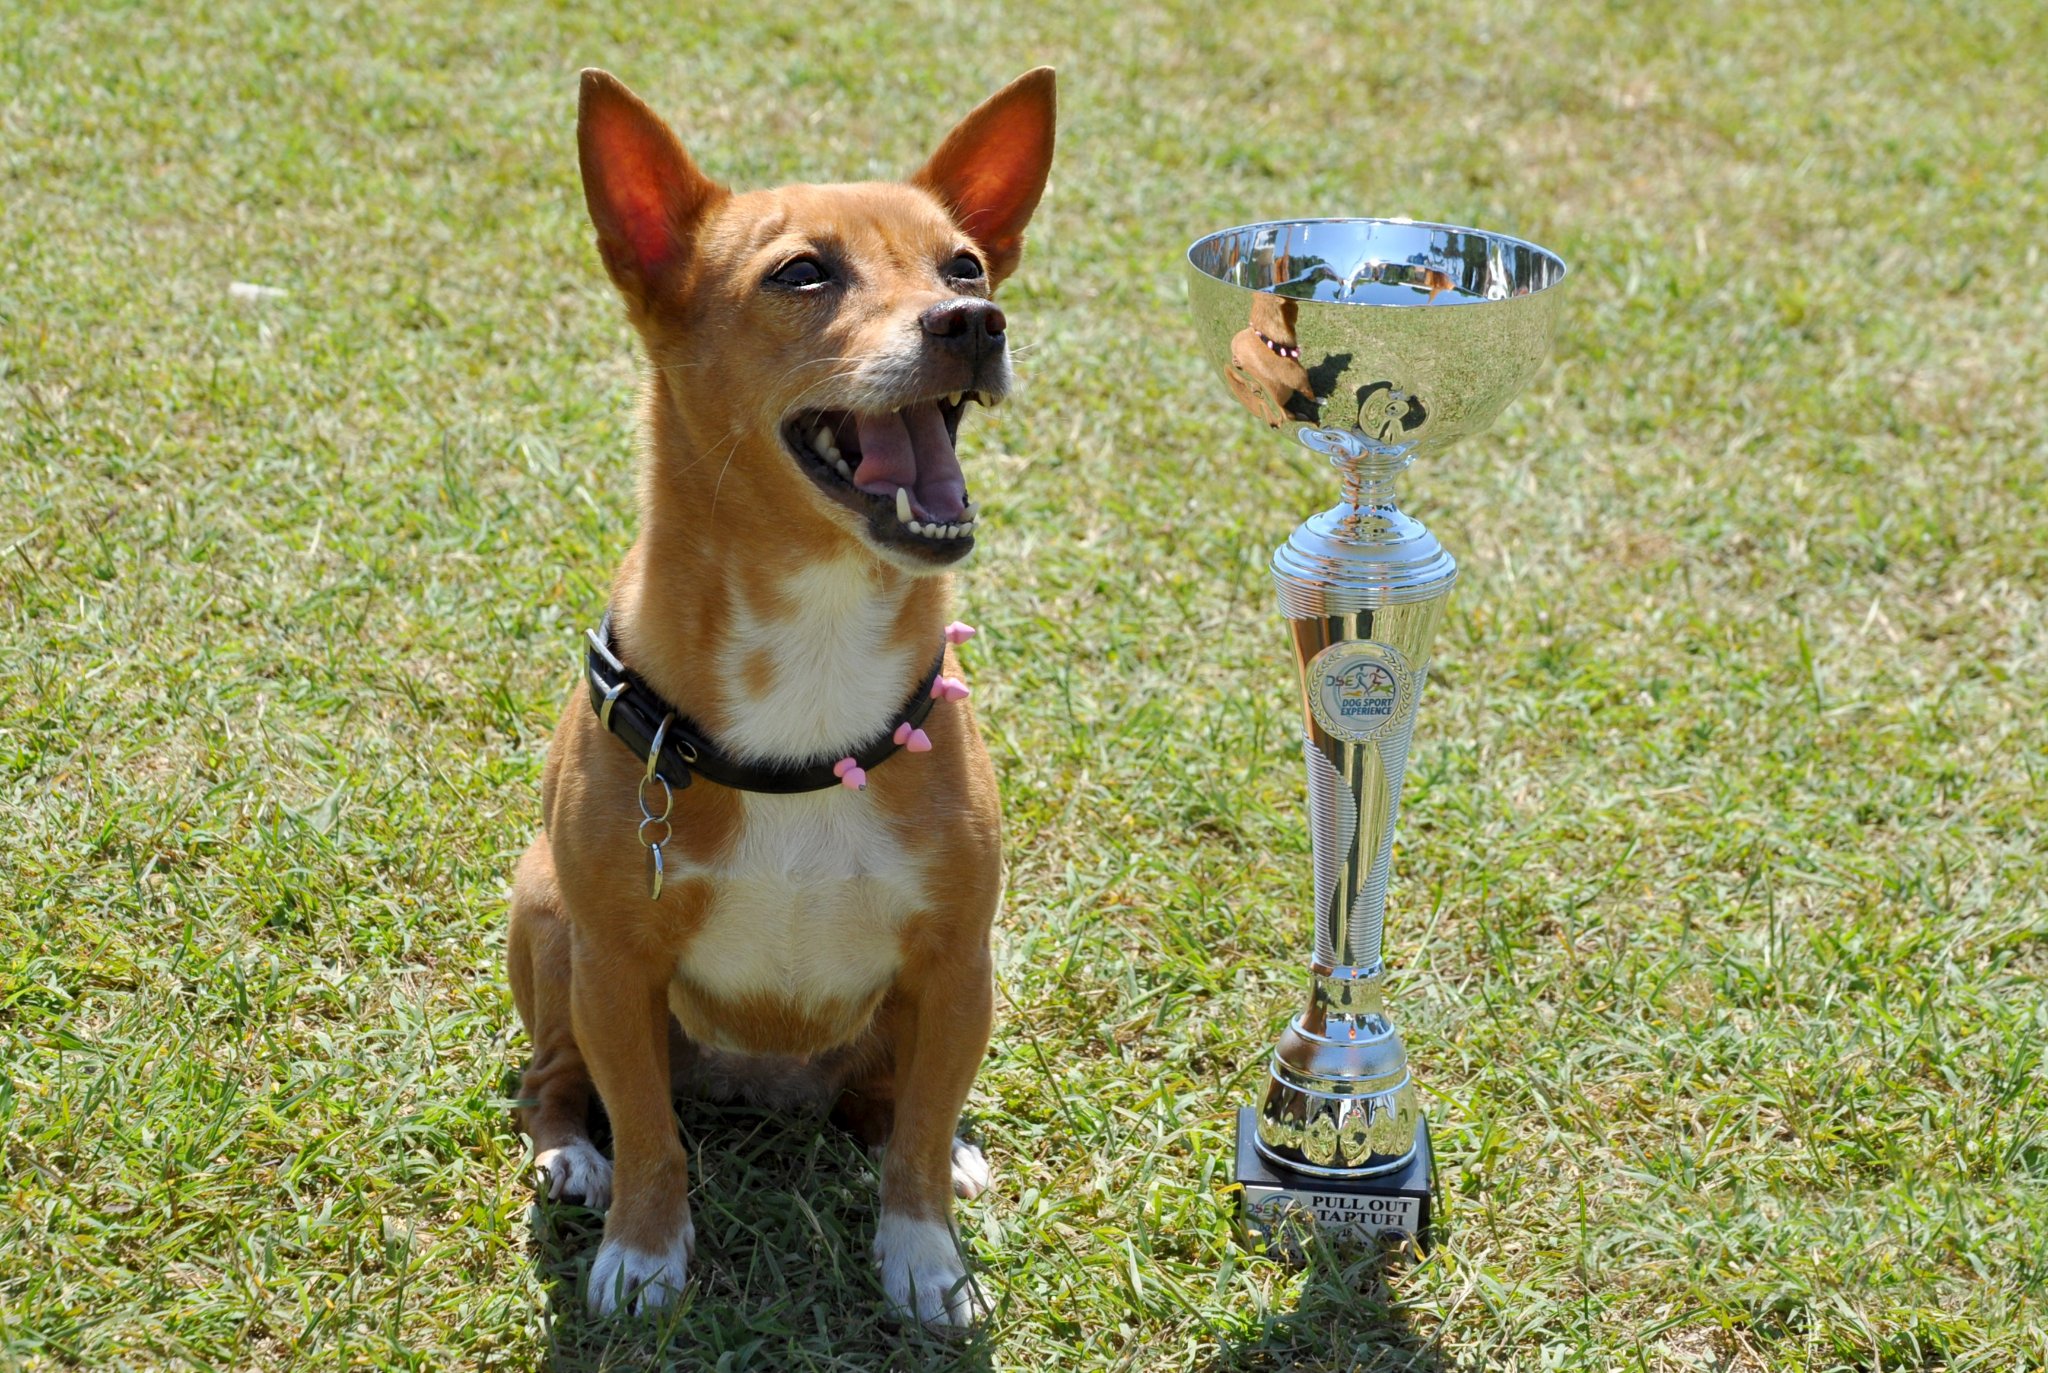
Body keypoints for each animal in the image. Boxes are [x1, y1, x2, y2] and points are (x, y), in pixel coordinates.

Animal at [505, 67, 1054, 1327]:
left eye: (965, 265)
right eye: (801, 274)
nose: (972, 324)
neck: (815, 628)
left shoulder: (958, 963)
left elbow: (916, 1139)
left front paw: (923, 1256)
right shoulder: (615, 966)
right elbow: (650, 1133)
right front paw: (643, 1251)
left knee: (895, 1106)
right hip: (545, 918)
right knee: (555, 1080)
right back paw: (567, 1152)